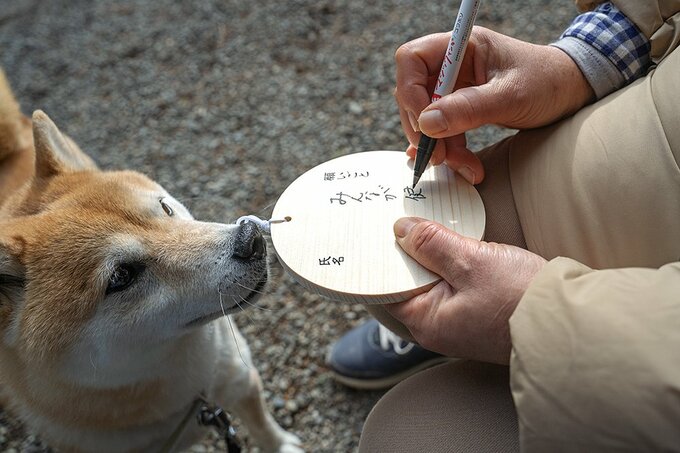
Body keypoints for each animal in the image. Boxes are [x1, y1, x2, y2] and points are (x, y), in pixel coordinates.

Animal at [0, 69, 302, 450]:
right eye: (122, 276)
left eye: (165, 208)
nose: (251, 240)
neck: (191, 396)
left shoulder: (238, 376)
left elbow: (261, 421)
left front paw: (281, 444)